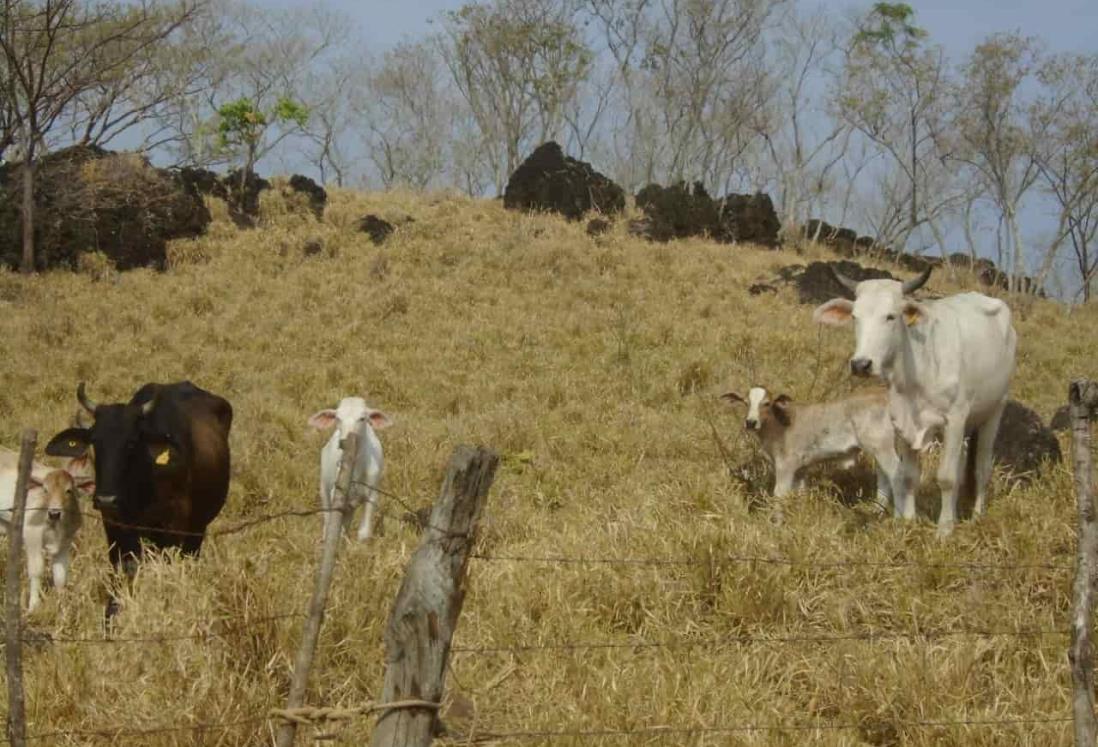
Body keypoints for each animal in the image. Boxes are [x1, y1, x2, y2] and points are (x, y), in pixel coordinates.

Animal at [0, 446, 93, 610]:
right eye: (45, 490)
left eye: (68, 490)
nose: (54, 513)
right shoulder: (32, 536)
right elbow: (36, 570)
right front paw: (34, 605)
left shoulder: (65, 542)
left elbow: (60, 575)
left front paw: (62, 606)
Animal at [46, 382, 232, 615]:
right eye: (95, 442)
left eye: (132, 442)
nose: (106, 499)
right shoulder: (115, 527)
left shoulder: (174, 528)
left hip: (197, 528)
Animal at [307, 397, 393, 542]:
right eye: (338, 418)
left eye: (362, 418)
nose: (344, 440)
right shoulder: (336, 493)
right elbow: (335, 525)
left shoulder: (372, 494)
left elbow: (364, 533)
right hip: (324, 488)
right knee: (328, 519)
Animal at [720, 384, 909, 514]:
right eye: (746, 403)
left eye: (767, 403)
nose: (750, 422)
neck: (778, 426)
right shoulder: (801, 468)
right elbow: (800, 493)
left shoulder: (786, 464)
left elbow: (779, 494)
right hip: (882, 448)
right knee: (884, 477)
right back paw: (876, 511)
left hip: (882, 447)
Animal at [812, 265, 1014, 533]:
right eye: (855, 317)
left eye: (891, 316)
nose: (861, 364)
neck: (918, 366)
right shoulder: (902, 421)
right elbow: (907, 475)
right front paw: (907, 522)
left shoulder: (955, 419)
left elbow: (946, 477)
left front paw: (944, 530)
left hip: (994, 411)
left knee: (982, 468)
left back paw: (977, 516)